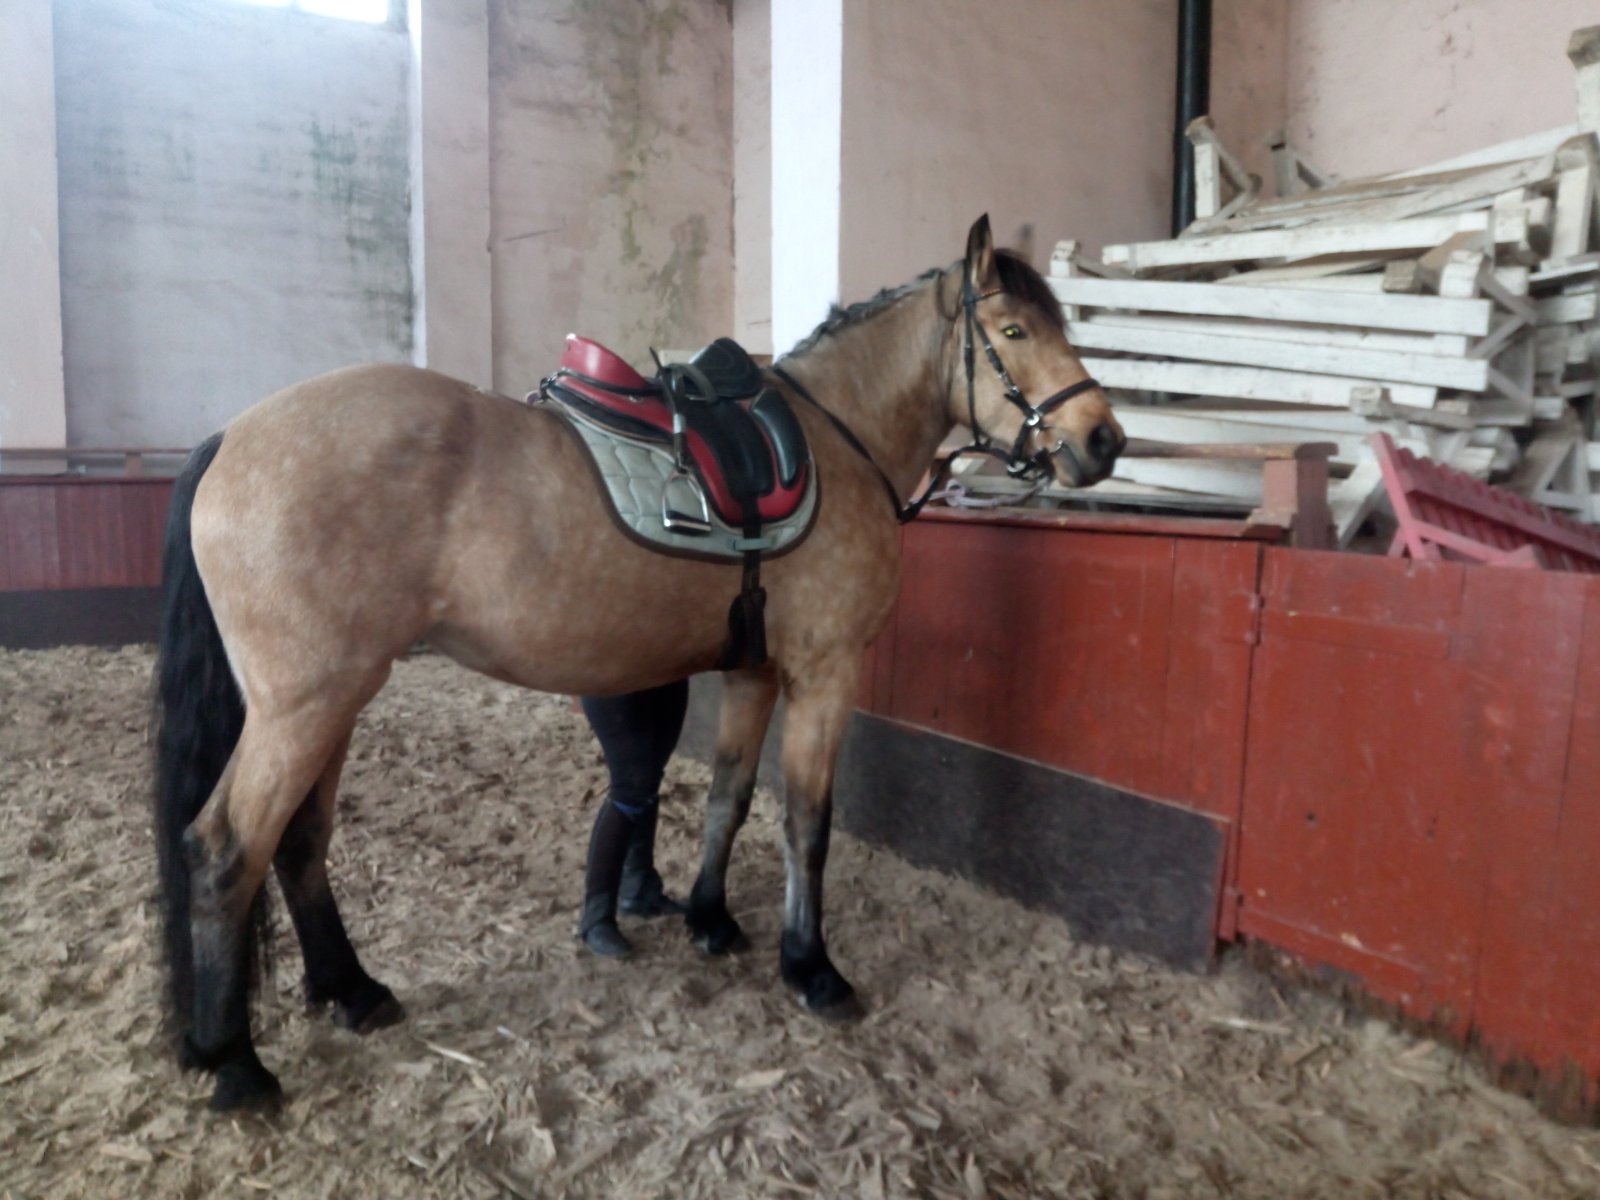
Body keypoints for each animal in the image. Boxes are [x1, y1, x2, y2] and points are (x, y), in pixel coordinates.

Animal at [151, 214, 1124, 1112]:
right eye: (1014, 332)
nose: (1104, 439)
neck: (838, 444)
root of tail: (234, 437)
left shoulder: (754, 673)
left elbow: (730, 797)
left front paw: (710, 920)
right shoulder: (824, 672)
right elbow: (807, 822)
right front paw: (811, 968)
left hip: (334, 701)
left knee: (299, 841)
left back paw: (351, 991)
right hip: (304, 706)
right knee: (227, 847)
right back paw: (236, 1064)